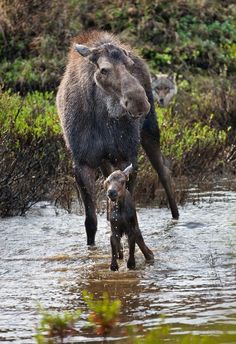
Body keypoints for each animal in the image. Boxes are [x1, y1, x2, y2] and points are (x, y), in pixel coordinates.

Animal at [57, 30, 179, 245]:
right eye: (104, 69)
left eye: (130, 65)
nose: (140, 102)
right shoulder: (82, 163)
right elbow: (90, 222)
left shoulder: (127, 157)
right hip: (106, 159)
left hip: (149, 130)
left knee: (164, 171)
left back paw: (176, 217)